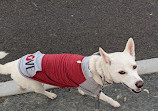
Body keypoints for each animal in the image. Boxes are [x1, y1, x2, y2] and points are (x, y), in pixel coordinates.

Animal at [0, 37, 144, 107]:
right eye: (121, 72)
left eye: (135, 67)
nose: (140, 84)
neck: (98, 69)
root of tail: (13, 64)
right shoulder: (95, 92)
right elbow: (108, 98)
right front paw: (115, 103)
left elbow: (79, 88)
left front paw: (80, 91)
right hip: (37, 85)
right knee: (41, 91)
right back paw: (50, 95)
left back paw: (21, 87)